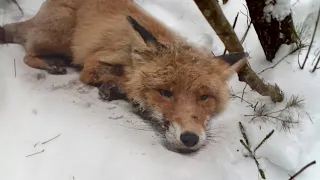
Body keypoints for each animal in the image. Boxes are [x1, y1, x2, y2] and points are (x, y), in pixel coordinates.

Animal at [0, 0, 248, 153]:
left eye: (204, 97)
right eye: (165, 93)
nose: (190, 139)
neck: (129, 54)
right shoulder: (91, 65)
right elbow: (126, 81)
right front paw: (128, 93)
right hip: (60, 35)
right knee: (28, 54)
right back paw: (51, 64)